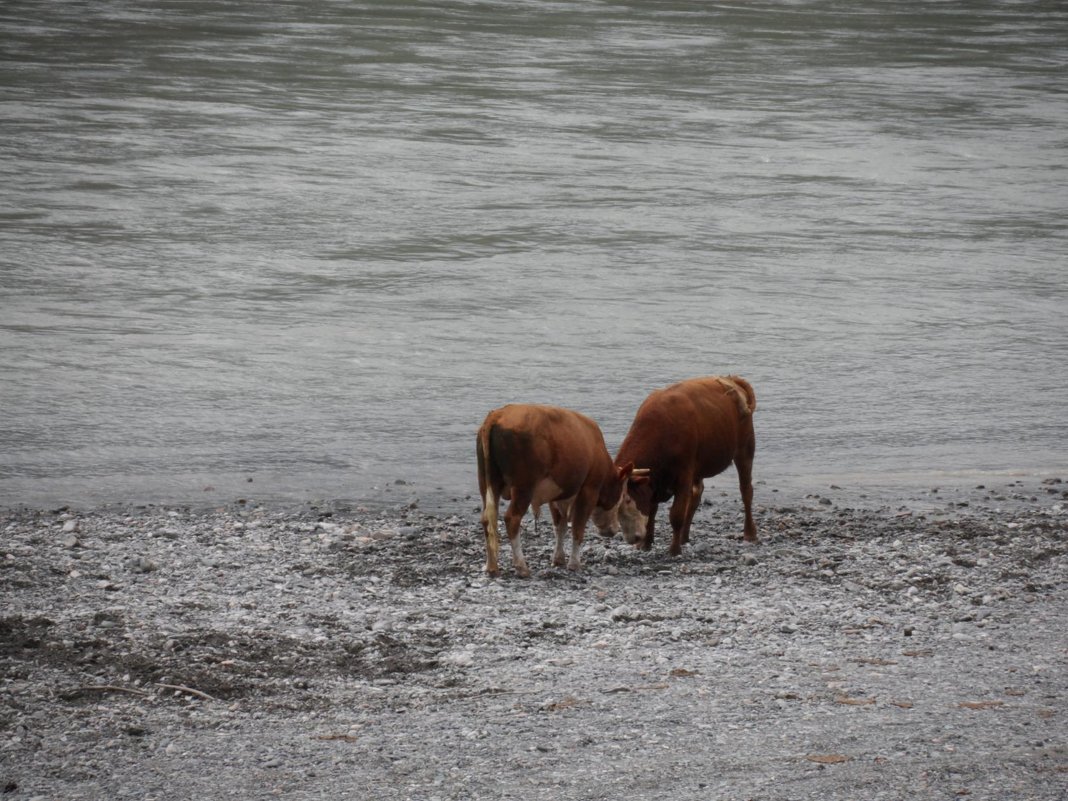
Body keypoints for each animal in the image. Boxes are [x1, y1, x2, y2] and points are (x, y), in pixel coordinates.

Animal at [476, 407, 632, 576]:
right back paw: (521, 567)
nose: (615, 529)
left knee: (487, 519)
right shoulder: (589, 490)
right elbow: (578, 528)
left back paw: (491, 566)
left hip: (486, 482)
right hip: (524, 486)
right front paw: (574, 563)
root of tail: (498, 414)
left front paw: (558, 559)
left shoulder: (558, 494)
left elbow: (560, 527)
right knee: (512, 518)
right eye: (623, 497)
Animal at [606, 378, 756, 559]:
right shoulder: (655, 483)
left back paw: (750, 533)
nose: (632, 539)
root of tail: (731, 379)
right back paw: (685, 536)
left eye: (628, 499)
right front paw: (646, 544)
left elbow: (676, 515)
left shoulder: (683, 475)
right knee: (697, 494)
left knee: (746, 490)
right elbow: (652, 512)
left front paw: (674, 550)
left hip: (745, 449)